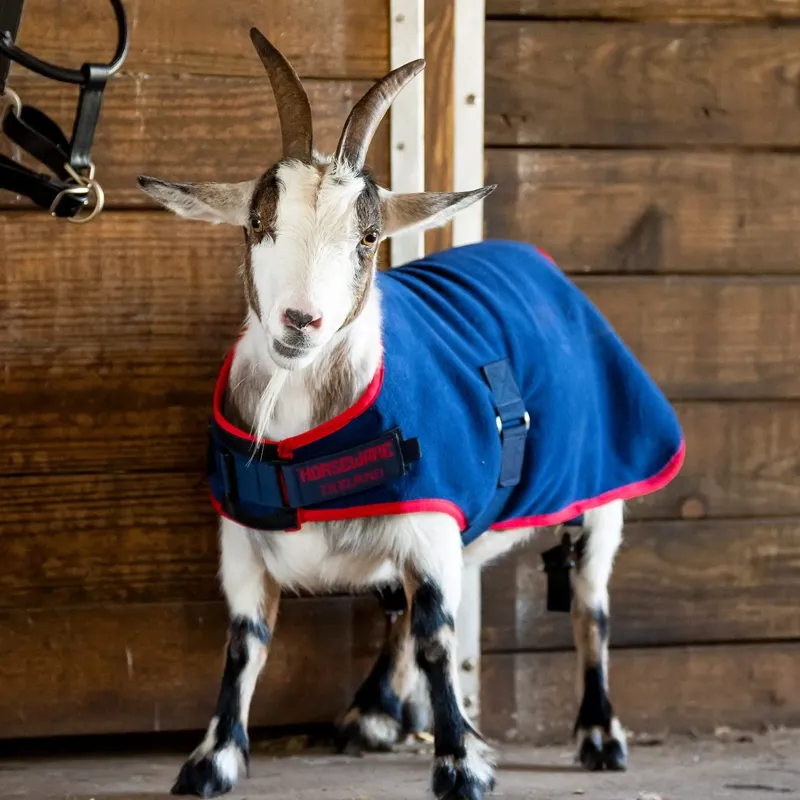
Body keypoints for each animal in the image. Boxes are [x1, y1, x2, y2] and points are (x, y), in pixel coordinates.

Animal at [138, 28, 684, 800]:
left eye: (367, 239)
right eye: (257, 223)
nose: (300, 321)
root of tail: (535, 262)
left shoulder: (432, 519)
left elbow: (436, 638)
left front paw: (461, 764)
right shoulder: (244, 539)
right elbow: (244, 645)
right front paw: (212, 759)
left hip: (604, 482)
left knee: (590, 604)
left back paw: (600, 734)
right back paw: (371, 713)